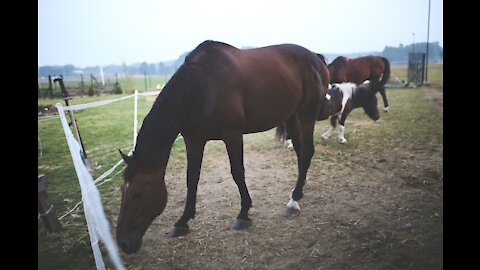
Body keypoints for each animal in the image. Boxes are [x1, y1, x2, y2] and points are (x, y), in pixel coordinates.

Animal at [115, 39, 330, 253]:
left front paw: (243, 214)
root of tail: (316, 57)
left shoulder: (232, 135)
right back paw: (298, 191)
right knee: (300, 153)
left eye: (137, 193)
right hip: (292, 116)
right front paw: (183, 221)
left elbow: (237, 172)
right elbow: (192, 178)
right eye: (122, 191)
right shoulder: (194, 140)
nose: (123, 243)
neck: (203, 86)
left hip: (306, 114)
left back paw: (293, 200)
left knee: (307, 152)